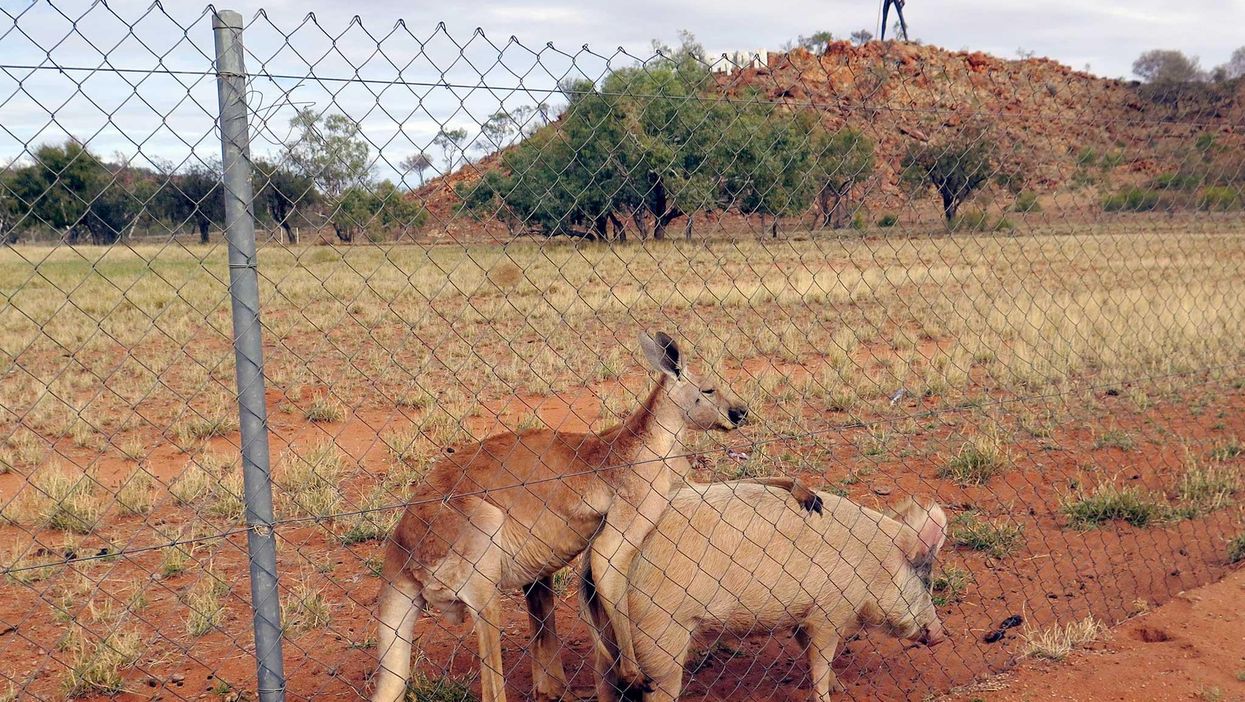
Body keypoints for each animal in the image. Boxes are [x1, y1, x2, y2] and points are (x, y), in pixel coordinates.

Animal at [582, 483, 948, 702]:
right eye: (926, 581)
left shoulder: (802, 615)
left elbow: (809, 651)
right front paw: (828, 693)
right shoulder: (829, 612)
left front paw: (840, 685)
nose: (940, 634)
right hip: (659, 631)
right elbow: (821, 657)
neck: (874, 565)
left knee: (603, 676)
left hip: (610, 633)